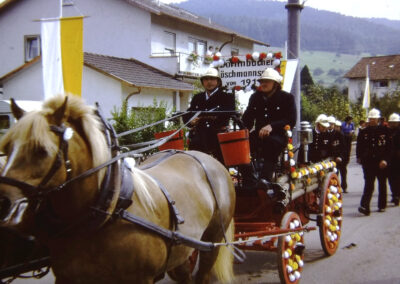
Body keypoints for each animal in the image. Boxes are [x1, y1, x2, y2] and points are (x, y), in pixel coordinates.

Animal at [0, 96, 236, 284]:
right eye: (7, 148)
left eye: (41, 150)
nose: (3, 202)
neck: (111, 208)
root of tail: (204, 157)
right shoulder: (69, 277)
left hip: (212, 240)